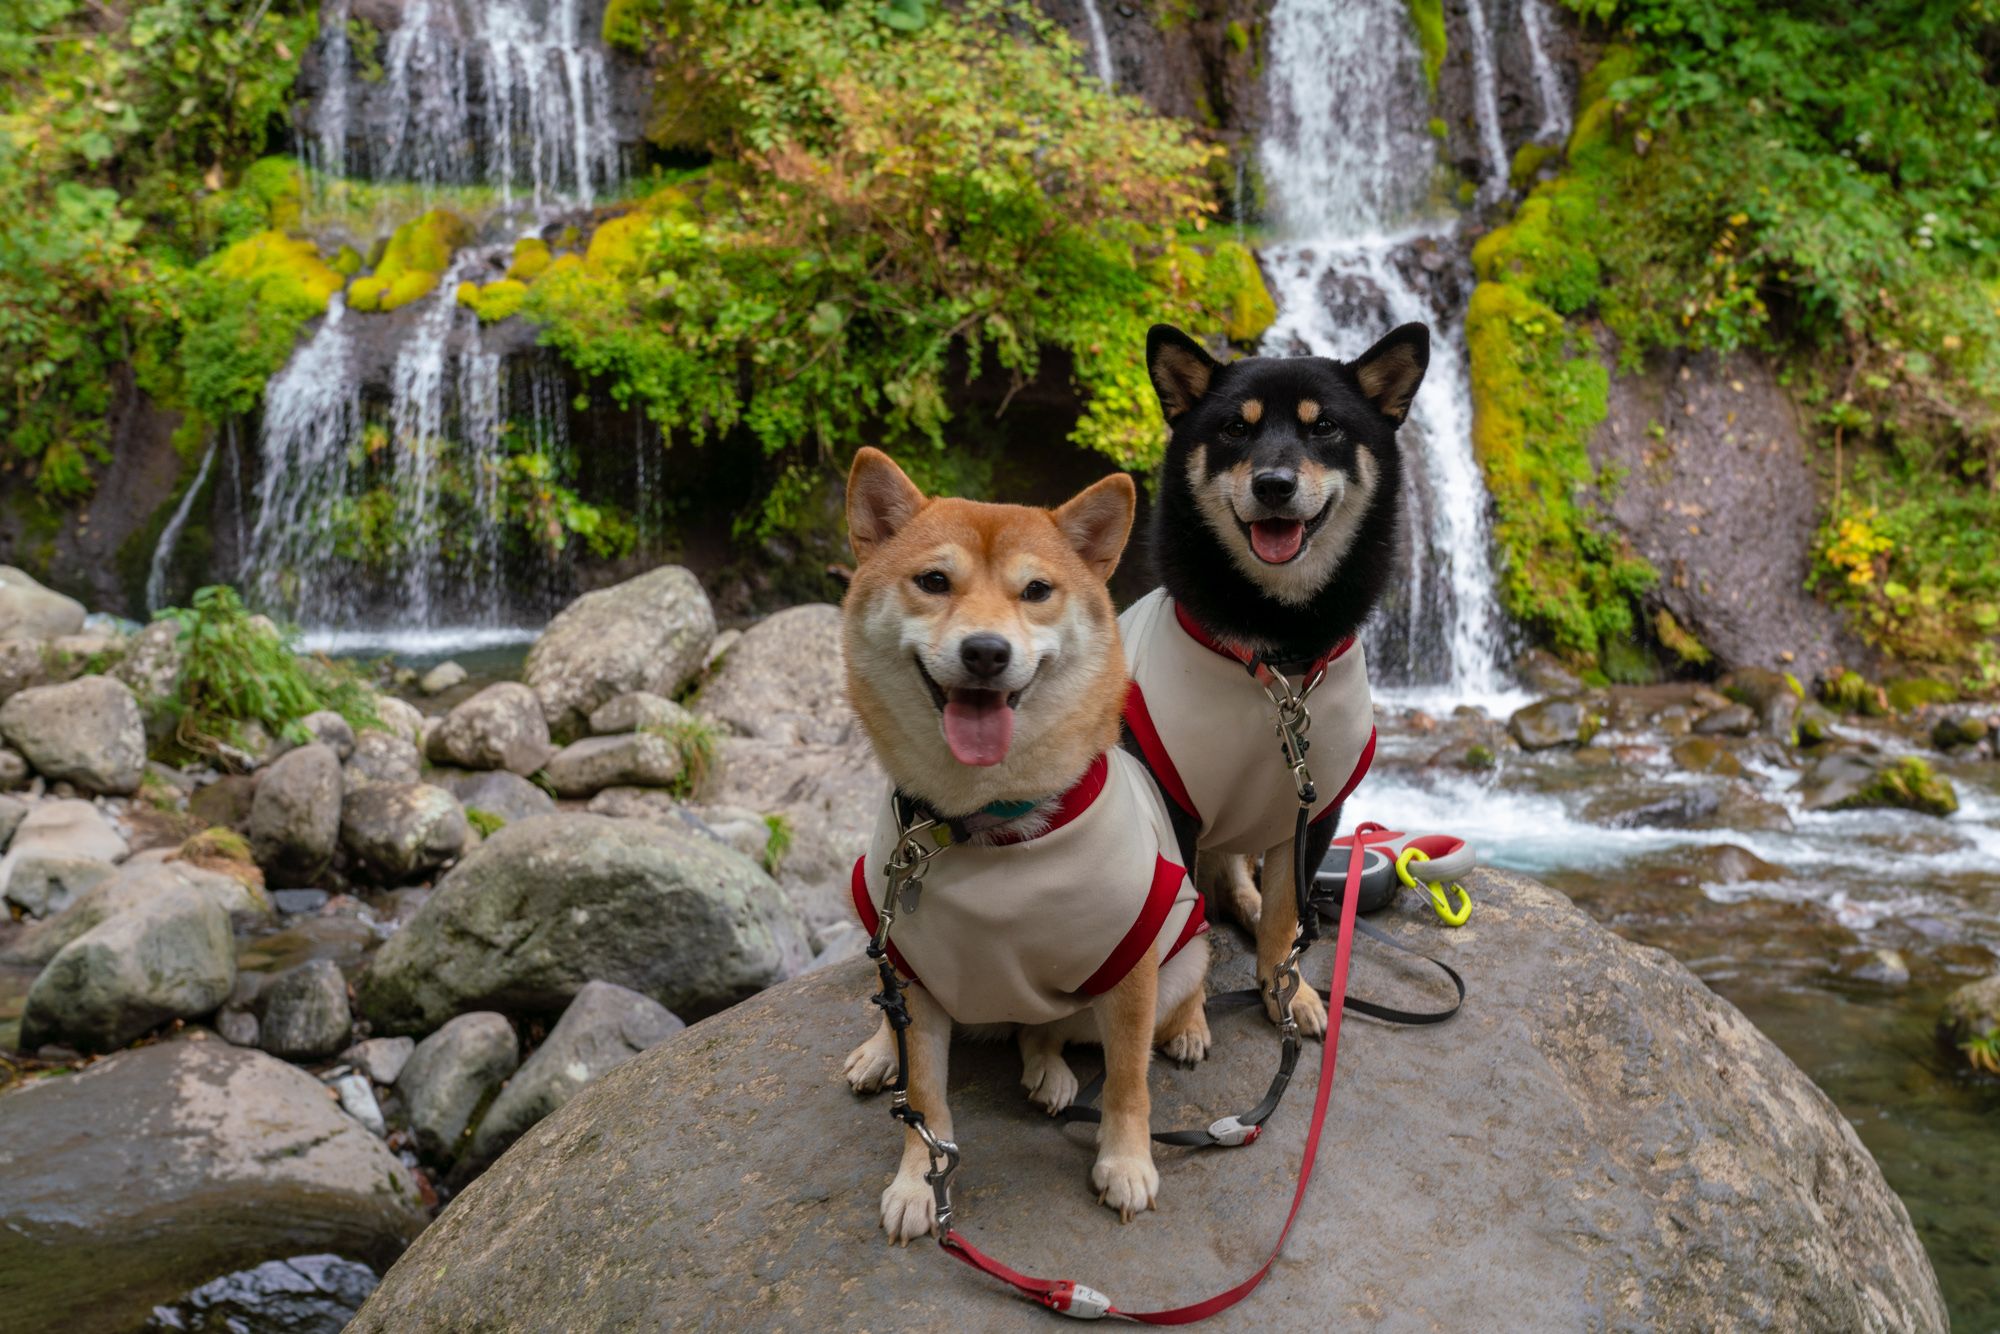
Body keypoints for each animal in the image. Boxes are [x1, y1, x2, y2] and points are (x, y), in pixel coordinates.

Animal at [840, 448, 1208, 1240]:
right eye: (934, 581)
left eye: (1036, 590)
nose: (985, 651)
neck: (983, 821)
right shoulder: (916, 970)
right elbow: (926, 1101)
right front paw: (918, 1182)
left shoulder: (1131, 964)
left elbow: (1128, 1080)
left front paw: (1126, 1162)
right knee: (906, 1014)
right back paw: (881, 1052)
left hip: (1184, 948)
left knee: (1062, 1028)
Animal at [1128, 326, 1424, 1040]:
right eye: (1236, 427)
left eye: (1326, 429)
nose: (1273, 484)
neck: (1276, 656)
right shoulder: (1170, 803)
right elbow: (1180, 922)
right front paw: (1183, 1022)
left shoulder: (1314, 810)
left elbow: (1287, 912)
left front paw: (1286, 991)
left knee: (1239, 886)